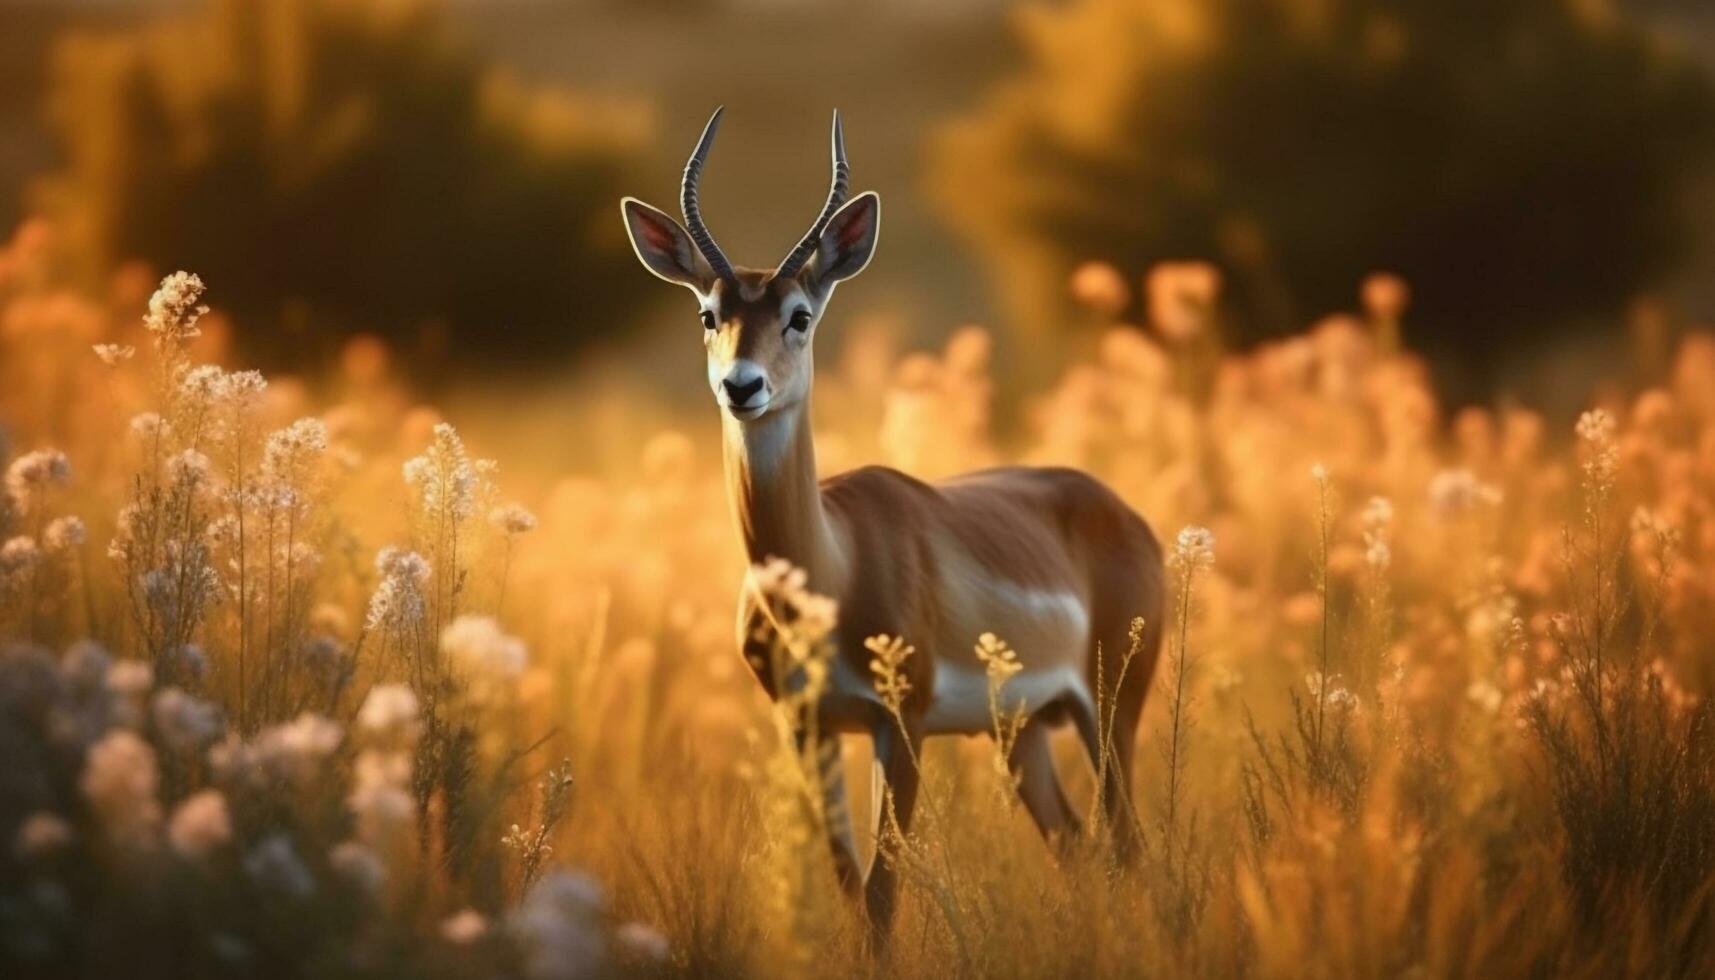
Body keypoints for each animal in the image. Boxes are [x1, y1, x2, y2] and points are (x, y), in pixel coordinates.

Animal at [617, 111, 1166, 940]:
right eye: (709, 314)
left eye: (799, 315)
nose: (741, 386)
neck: (831, 565)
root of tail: (1124, 513)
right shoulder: (804, 727)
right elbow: (850, 886)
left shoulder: (900, 725)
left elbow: (882, 894)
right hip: (1024, 733)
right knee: (1077, 845)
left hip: (1109, 711)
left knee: (1129, 846)